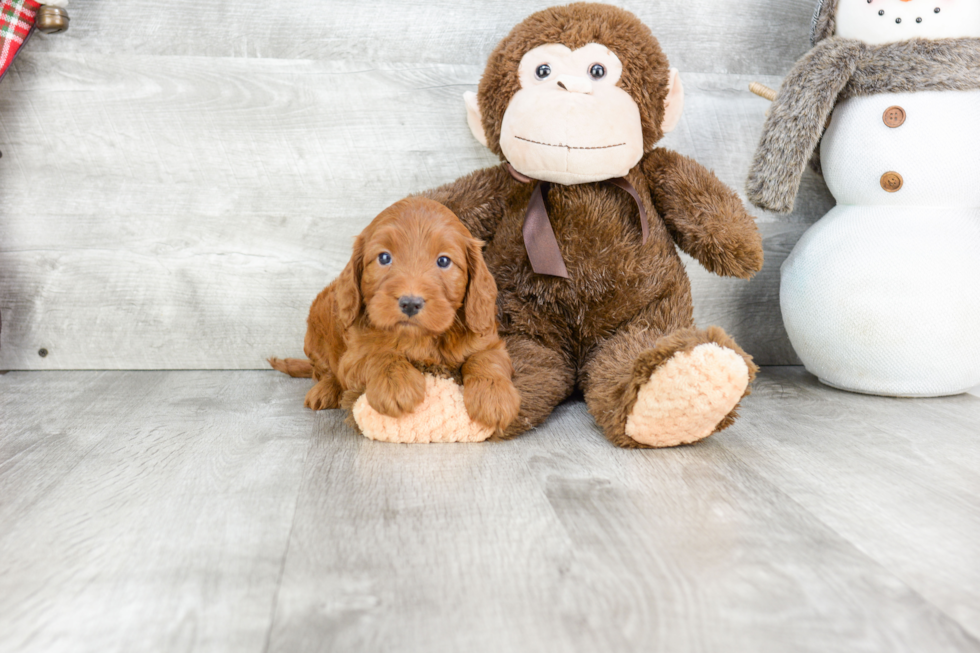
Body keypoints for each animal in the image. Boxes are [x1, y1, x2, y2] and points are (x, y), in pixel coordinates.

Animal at [272, 196, 520, 436]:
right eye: (384, 258)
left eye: (443, 261)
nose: (410, 303)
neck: (421, 339)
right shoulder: (353, 356)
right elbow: (379, 354)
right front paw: (395, 384)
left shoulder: (488, 340)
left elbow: (486, 358)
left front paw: (494, 396)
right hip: (317, 324)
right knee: (324, 371)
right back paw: (325, 390)